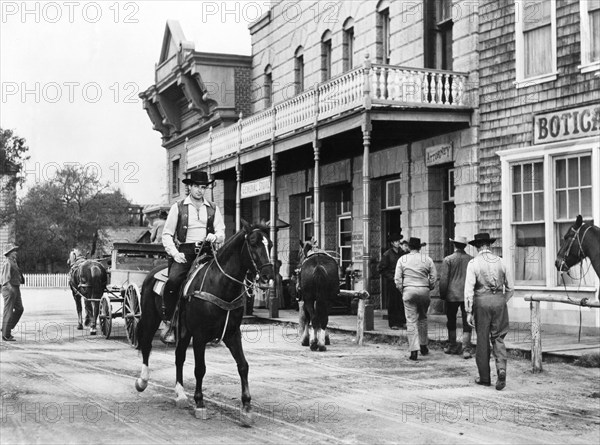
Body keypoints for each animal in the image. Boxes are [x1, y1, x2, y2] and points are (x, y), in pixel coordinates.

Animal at [134, 222, 274, 424]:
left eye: (270, 244)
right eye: (253, 243)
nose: (267, 275)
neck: (220, 285)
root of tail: (151, 274)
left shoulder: (232, 334)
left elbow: (243, 365)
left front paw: (247, 407)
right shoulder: (200, 335)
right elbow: (200, 368)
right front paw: (200, 403)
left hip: (183, 332)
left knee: (179, 356)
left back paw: (180, 394)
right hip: (151, 318)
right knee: (146, 344)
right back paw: (143, 381)